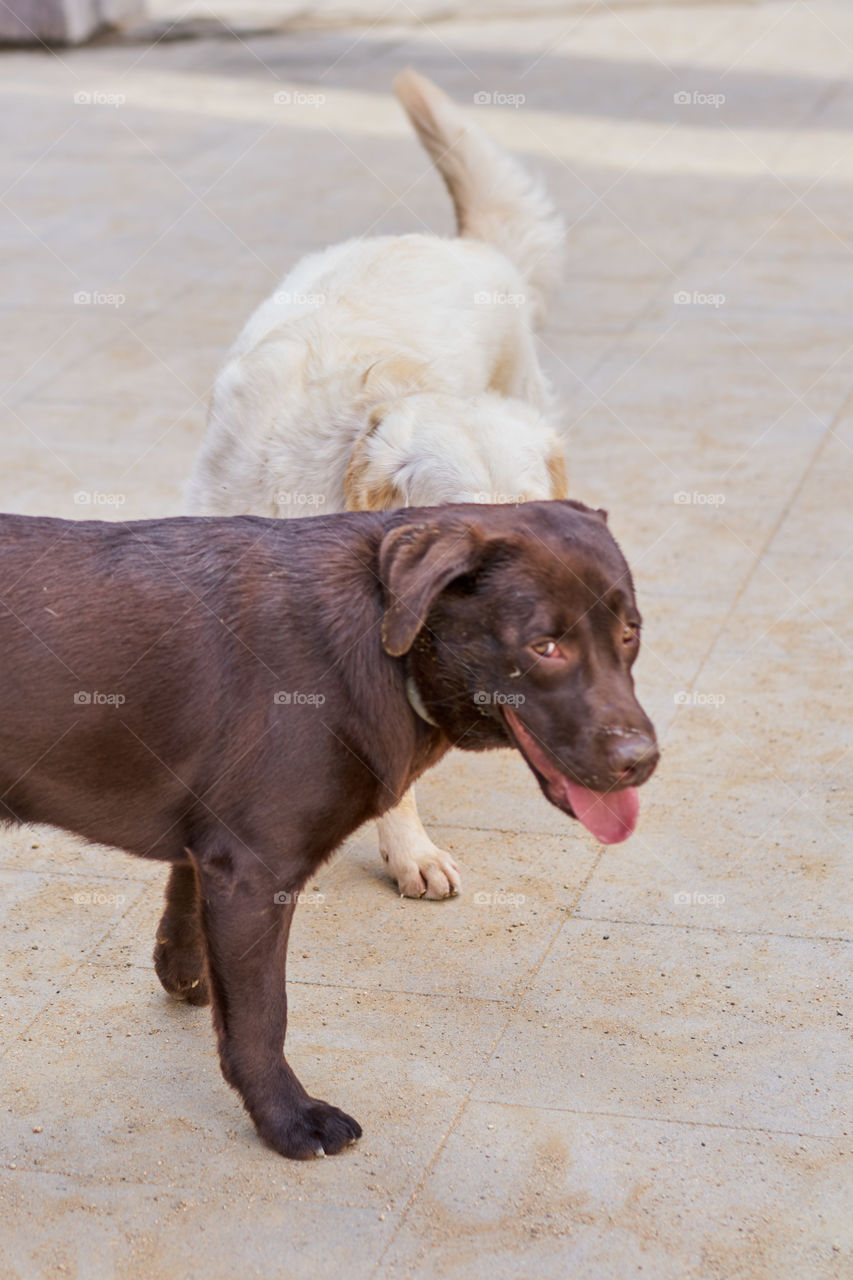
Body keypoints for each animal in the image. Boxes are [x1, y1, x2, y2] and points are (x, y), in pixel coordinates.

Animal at [0, 501, 655, 1162]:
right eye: (545, 646)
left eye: (630, 633)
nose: (643, 760)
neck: (384, 640)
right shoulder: (253, 871)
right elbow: (263, 1017)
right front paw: (287, 1118)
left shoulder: (212, 848)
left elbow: (184, 900)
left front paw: (189, 973)